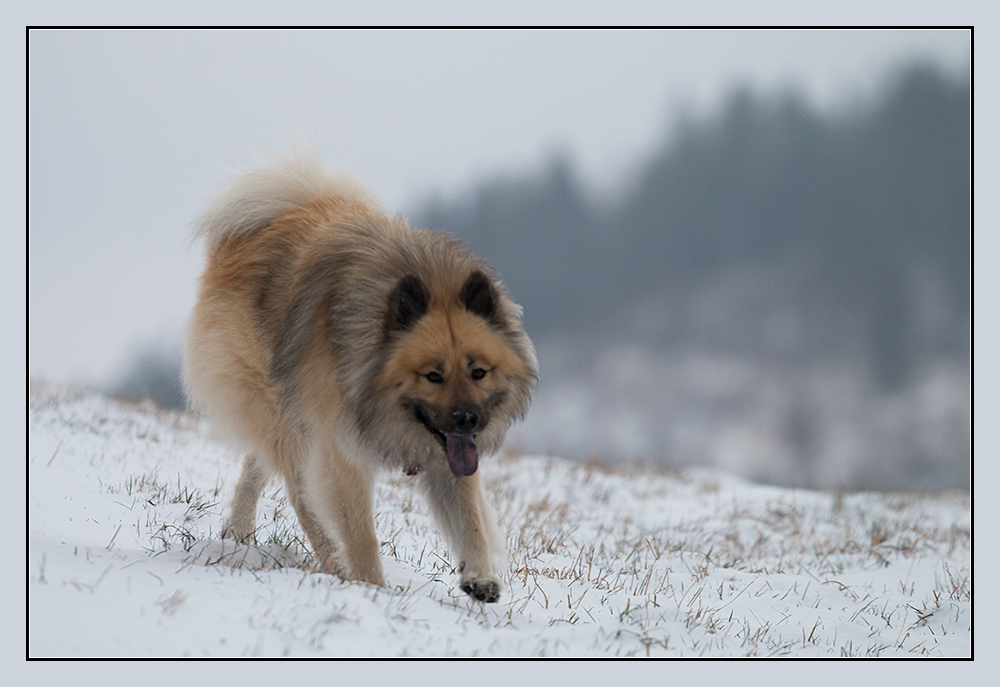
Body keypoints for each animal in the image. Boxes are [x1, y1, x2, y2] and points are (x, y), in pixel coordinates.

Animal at [182, 150, 540, 600]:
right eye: (432, 375)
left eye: (478, 372)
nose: (467, 419)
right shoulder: (341, 449)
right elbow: (360, 533)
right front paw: (371, 587)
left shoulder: (451, 453)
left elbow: (470, 514)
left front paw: (479, 576)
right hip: (283, 415)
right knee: (301, 494)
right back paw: (332, 565)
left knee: (258, 464)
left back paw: (239, 532)